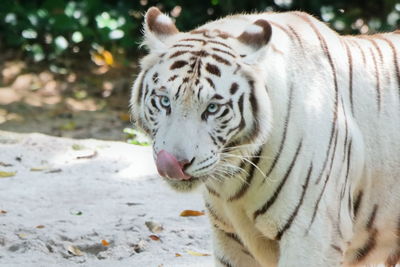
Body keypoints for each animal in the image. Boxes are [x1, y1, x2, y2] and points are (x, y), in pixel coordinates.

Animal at [130, 6, 400, 267]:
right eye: (164, 101)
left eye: (213, 108)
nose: (175, 163)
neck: (232, 182)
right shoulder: (229, 239)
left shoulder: (312, 236)